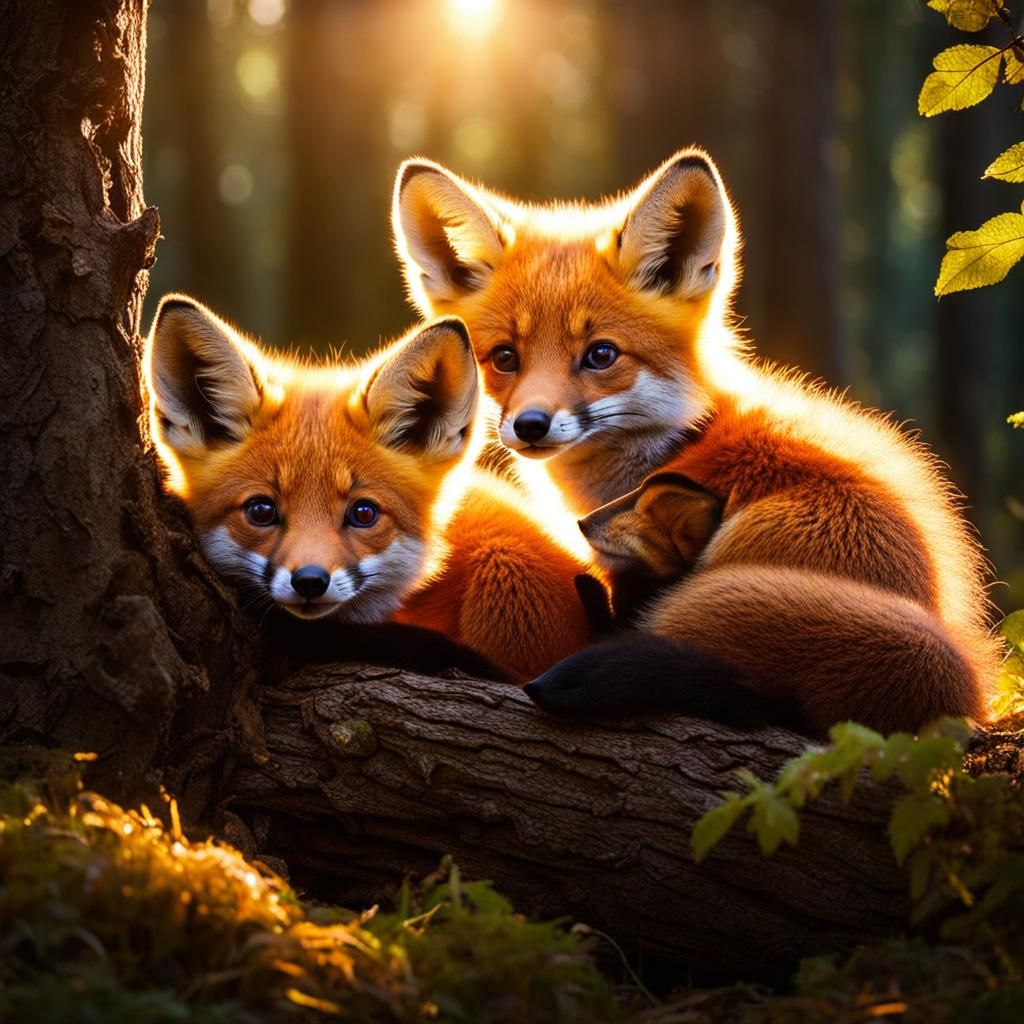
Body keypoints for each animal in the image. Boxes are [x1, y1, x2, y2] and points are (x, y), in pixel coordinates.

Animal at [390, 149, 1001, 735]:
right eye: (504, 358)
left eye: (601, 355)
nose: (530, 425)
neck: (678, 443)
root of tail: (960, 690)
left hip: (714, 603)